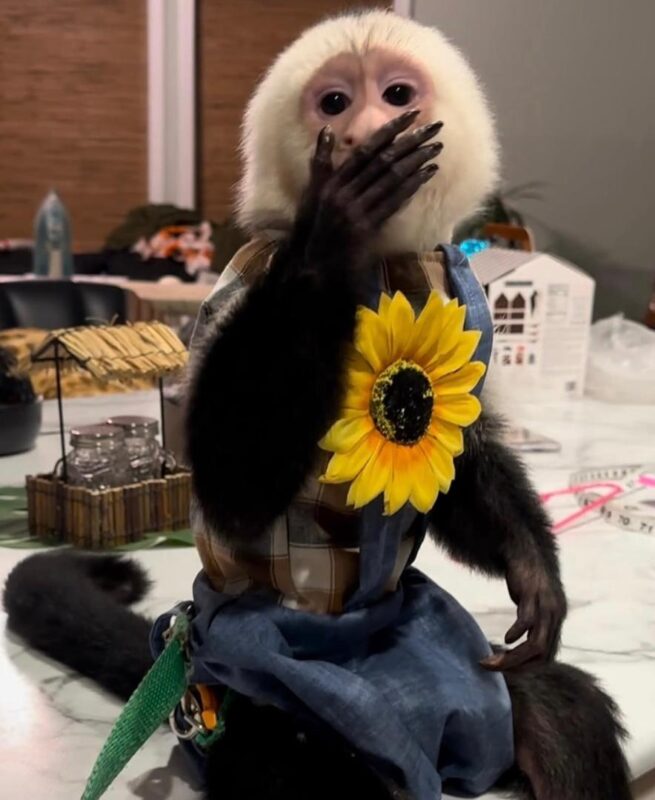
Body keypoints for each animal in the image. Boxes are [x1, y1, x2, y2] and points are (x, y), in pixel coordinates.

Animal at [4, 10, 631, 800]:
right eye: (335, 103)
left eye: (395, 94)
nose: (365, 130)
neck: (381, 265)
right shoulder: (245, 287)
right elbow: (234, 488)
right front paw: (333, 223)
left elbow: (459, 467)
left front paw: (532, 570)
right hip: (257, 702)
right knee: (305, 772)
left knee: (559, 712)